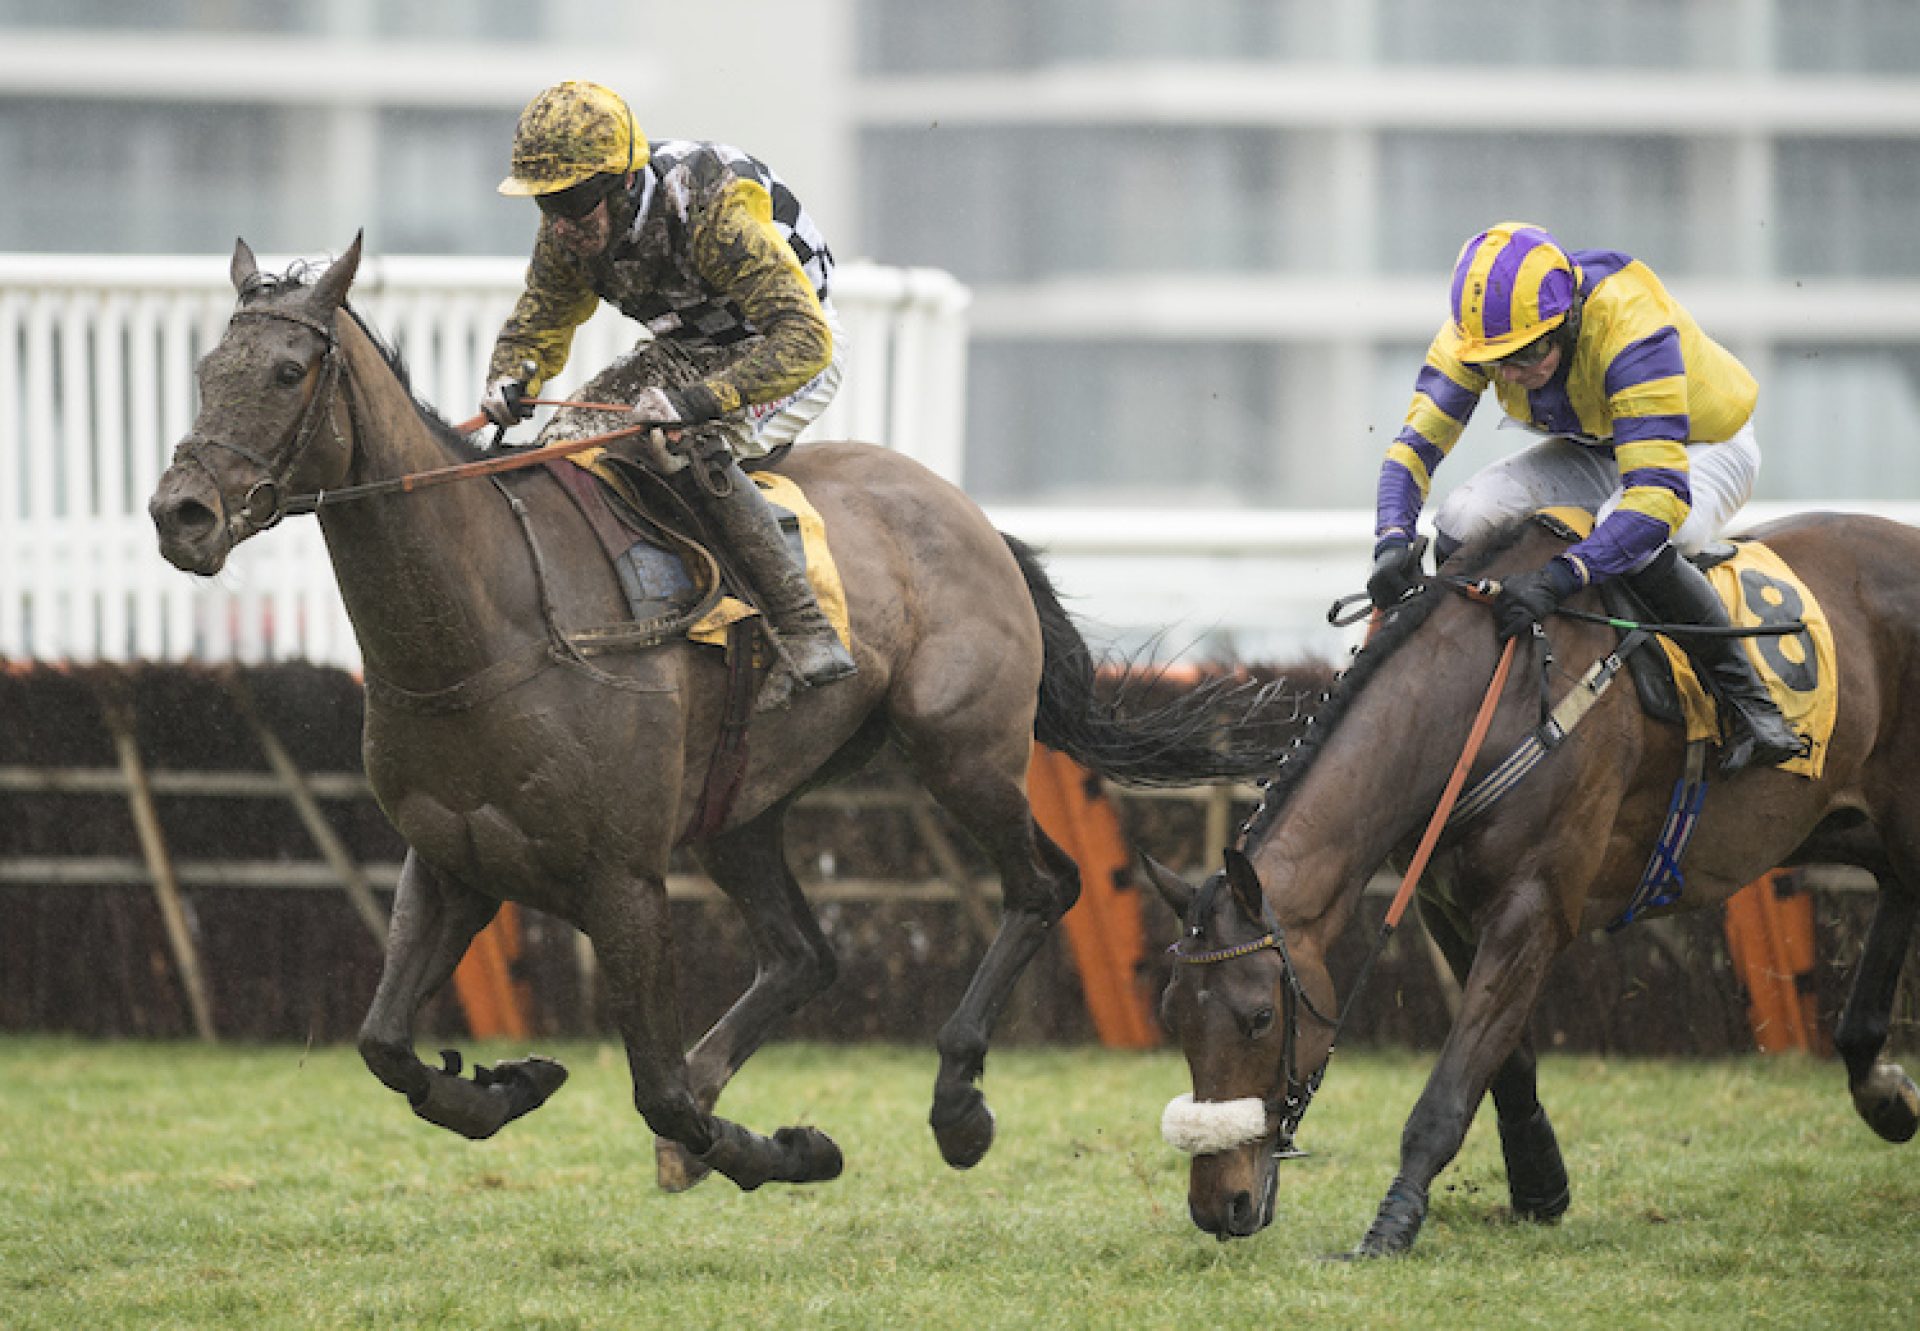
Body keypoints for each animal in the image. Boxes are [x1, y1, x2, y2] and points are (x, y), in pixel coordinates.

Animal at [153, 236, 1274, 1190]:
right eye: (206, 369)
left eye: (289, 372)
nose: (181, 513)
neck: (487, 628)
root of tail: (972, 514)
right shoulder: (451, 860)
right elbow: (383, 1043)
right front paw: (509, 1081)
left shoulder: (623, 880)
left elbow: (656, 1089)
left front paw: (782, 1147)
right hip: (742, 809)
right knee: (805, 952)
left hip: (962, 747)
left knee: (1044, 884)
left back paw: (958, 1101)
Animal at [1144, 507, 1912, 1259]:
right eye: (1174, 1015)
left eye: (1259, 1018)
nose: (1219, 1206)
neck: (1477, 706)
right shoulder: (1447, 906)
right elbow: (1503, 1062)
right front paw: (1540, 1182)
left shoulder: (1534, 908)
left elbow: (1451, 1084)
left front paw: (1391, 1226)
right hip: (1843, 823)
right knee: (1898, 893)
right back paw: (1881, 1085)